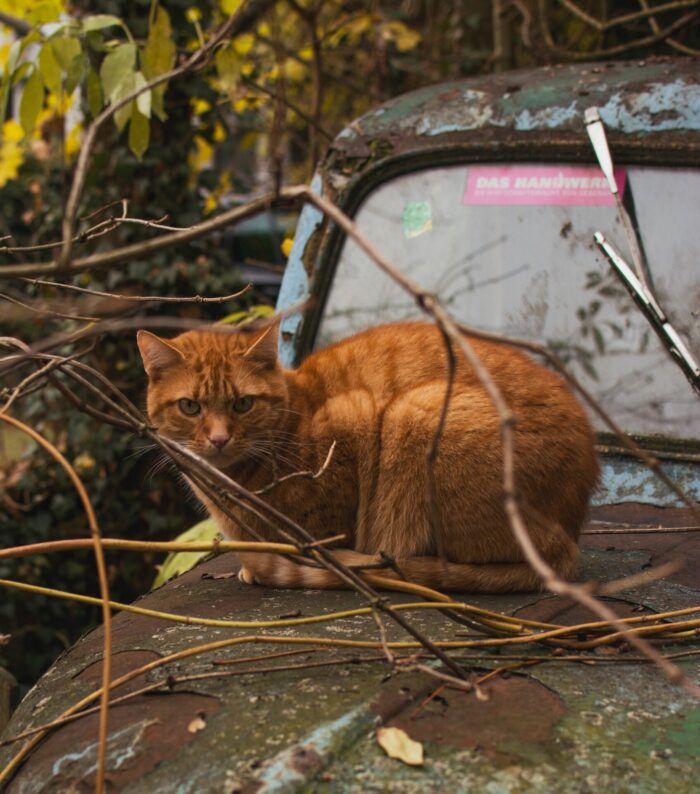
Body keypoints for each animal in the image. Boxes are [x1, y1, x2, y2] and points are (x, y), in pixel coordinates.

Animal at [139, 320, 600, 588]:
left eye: (242, 404)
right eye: (190, 407)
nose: (218, 439)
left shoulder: (353, 421)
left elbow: (328, 528)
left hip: (416, 412)